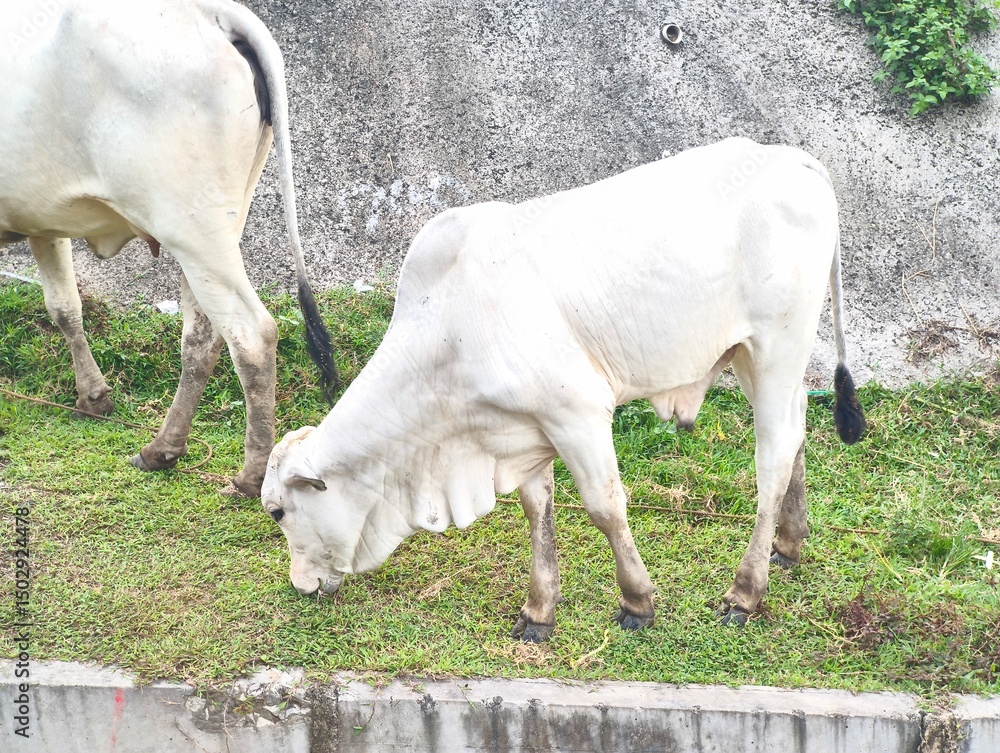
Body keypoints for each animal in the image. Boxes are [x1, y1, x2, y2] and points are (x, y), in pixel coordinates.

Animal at [0, 0, 337, 497]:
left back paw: (250, 476)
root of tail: (212, 12)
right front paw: (93, 396)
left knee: (251, 334)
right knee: (202, 335)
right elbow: (65, 307)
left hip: (192, 230)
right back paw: (162, 449)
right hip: (215, 230)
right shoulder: (44, 221)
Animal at [262, 138, 867, 637]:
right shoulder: (526, 427)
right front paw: (539, 611)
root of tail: (795, 159)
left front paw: (637, 602)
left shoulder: (577, 413)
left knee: (773, 457)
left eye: (278, 513)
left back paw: (746, 591)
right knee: (795, 431)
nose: (300, 585)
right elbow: (538, 510)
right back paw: (788, 545)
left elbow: (605, 507)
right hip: (751, 359)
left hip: (777, 347)